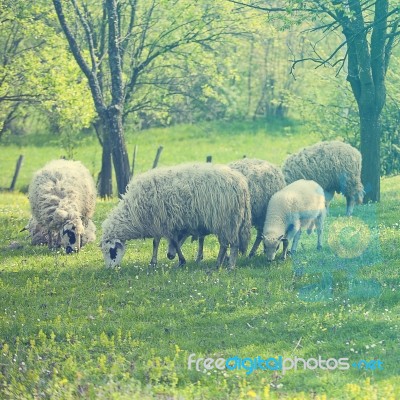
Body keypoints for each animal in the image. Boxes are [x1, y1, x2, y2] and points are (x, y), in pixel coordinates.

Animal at [100, 162, 250, 268]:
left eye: (112, 251)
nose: (110, 268)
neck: (132, 211)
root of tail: (241, 183)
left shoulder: (166, 223)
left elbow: (174, 243)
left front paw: (181, 261)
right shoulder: (159, 223)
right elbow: (157, 242)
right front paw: (154, 262)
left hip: (227, 220)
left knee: (231, 244)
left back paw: (228, 265)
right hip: (226, 221)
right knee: (225, 245)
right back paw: (220, 264)